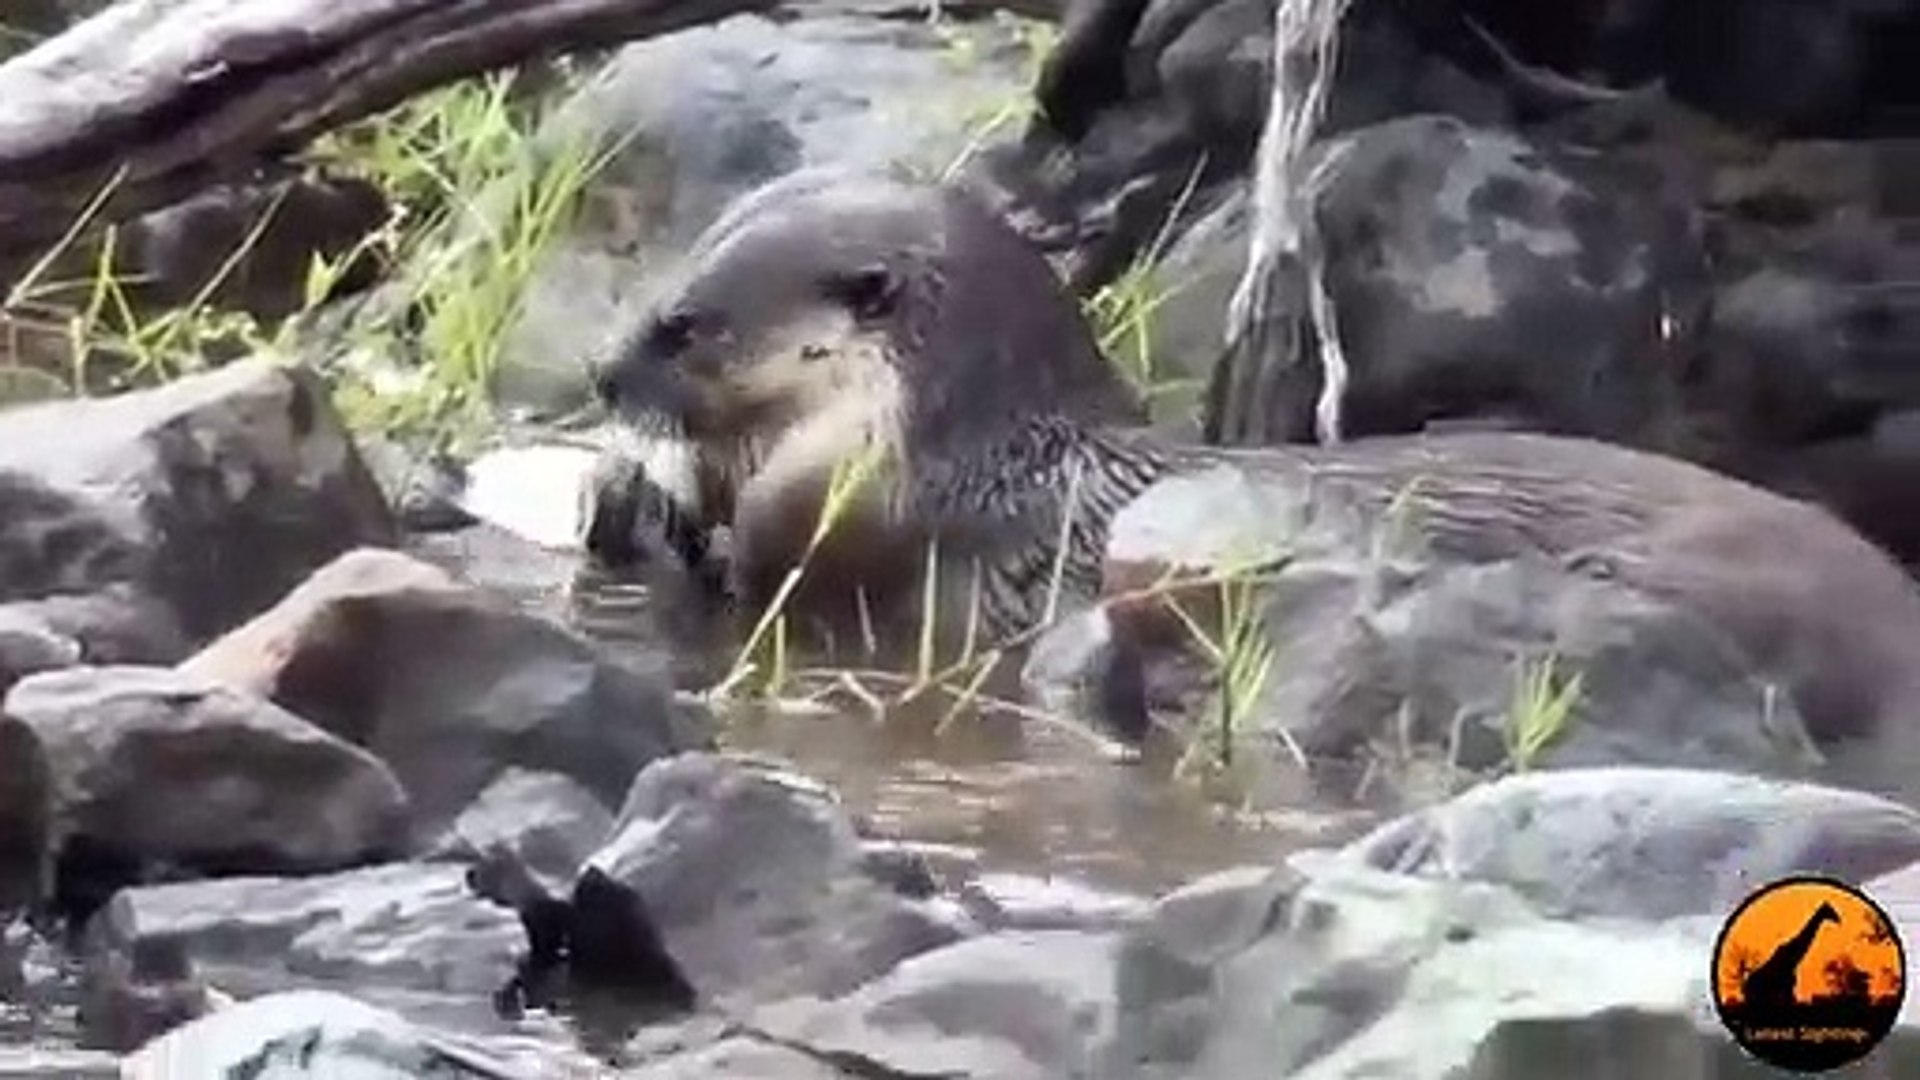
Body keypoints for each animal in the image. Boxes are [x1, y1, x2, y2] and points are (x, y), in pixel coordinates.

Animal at [585, 167, 1920, 770]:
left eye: (683, 325)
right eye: (659, 284)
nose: (599, 372)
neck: (972, 459)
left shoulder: (849, 526)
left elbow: (754, 574)